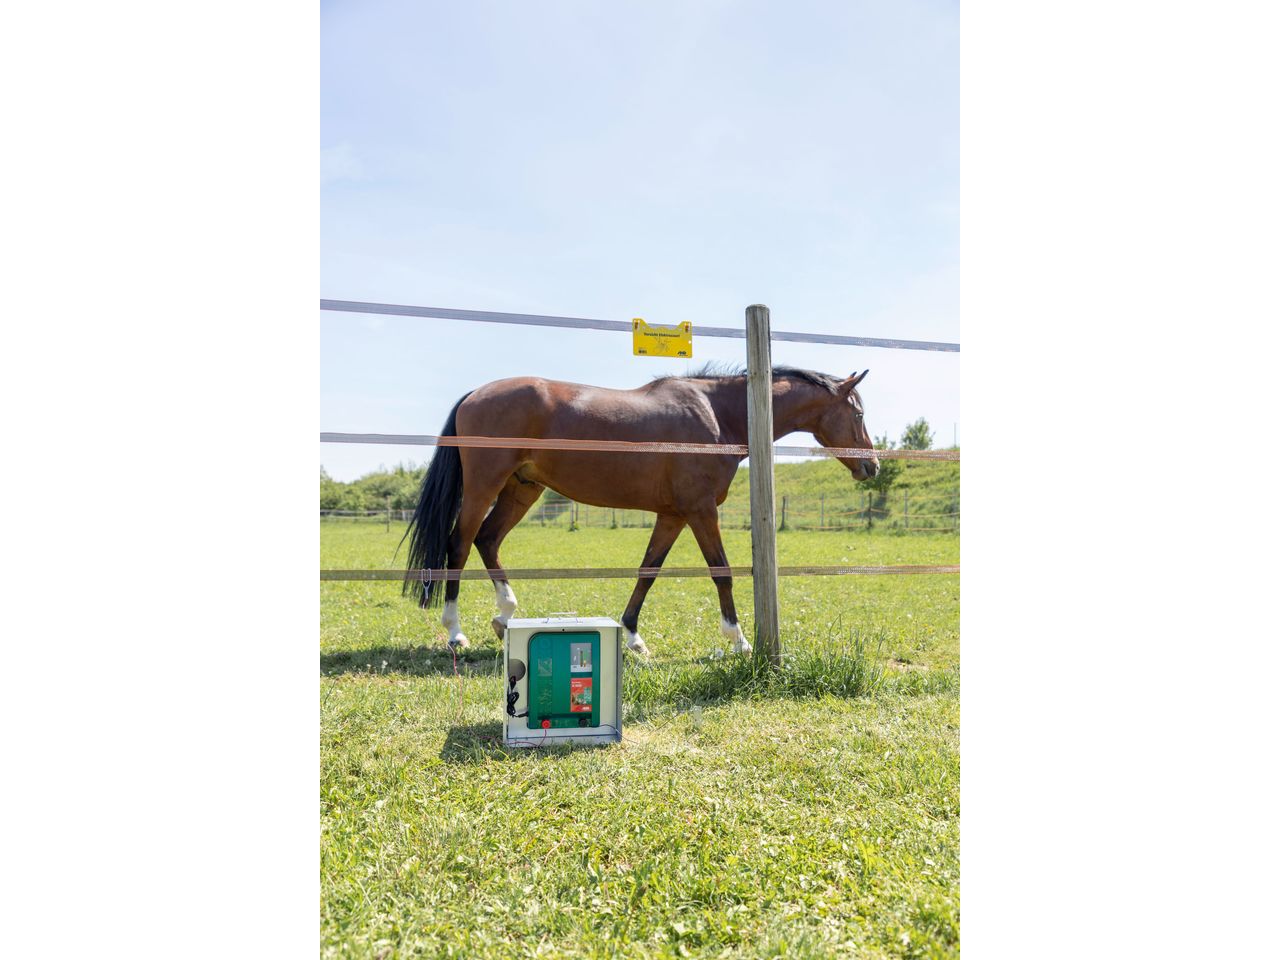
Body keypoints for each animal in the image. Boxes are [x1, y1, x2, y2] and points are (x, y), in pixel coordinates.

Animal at [402, 365, 879, 655]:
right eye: (857, 413)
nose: (872, 466)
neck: (718, 415)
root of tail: (475, 394)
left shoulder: (673, 515)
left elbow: (648, 570)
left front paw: (632, 635)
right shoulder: (700, 511)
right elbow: (721, 571)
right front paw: (739, 640)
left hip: (523, 490)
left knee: (487, 540)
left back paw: (505, 615)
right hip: (485, 486)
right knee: (459, 544)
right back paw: (455, 631)